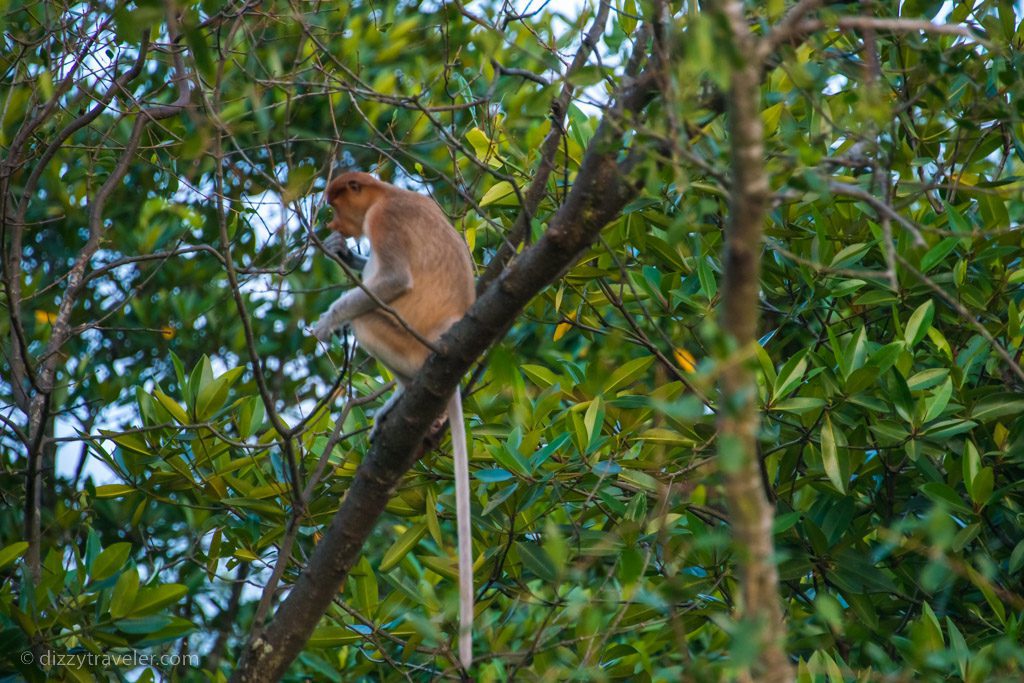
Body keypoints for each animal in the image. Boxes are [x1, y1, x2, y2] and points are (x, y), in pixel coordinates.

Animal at [309, 174, 477, 671]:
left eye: (335, 204)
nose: (332, 224)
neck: (387, 192)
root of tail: (444, 337)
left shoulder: (385, 220)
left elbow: (392, 280)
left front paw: (326, 321)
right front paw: (342, 253)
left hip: (405, 338)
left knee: (367, 319)